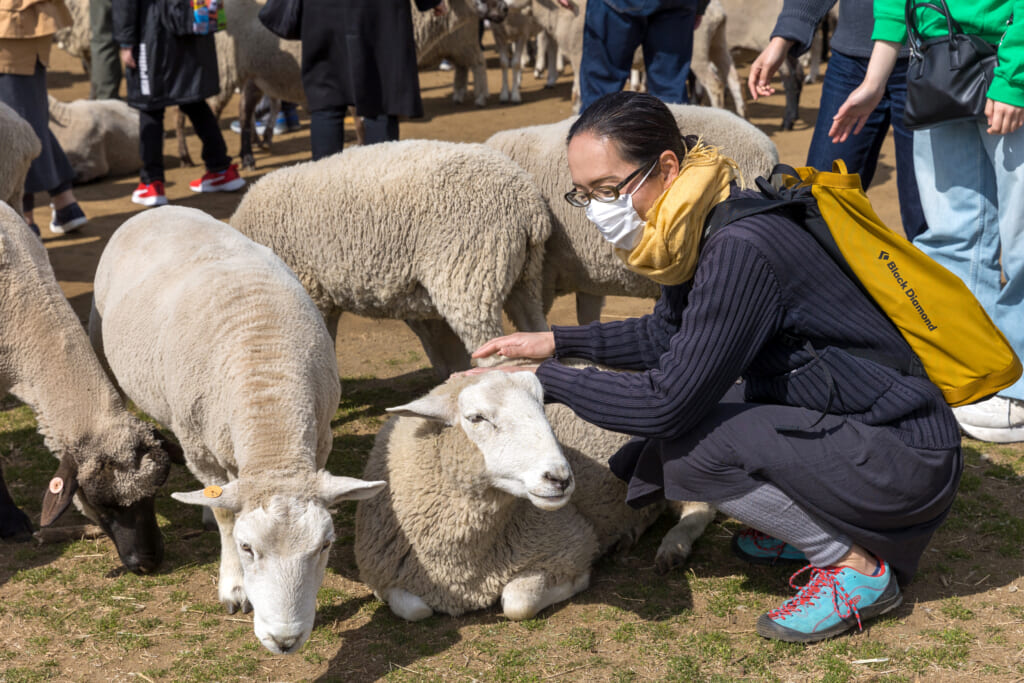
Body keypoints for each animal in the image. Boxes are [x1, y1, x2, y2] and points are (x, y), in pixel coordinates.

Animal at [86, 205, 385, 655]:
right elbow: (226, 515)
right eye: (247, 548)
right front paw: (234, 587)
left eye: (326, 545)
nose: (284, 640)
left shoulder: (319, 442)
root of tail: (161, 208)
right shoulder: (198, 448)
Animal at [229, 140, 557, 378]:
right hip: (524, 276)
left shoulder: (311, 291)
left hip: (470, 273)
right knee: (535, 331)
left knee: (495, 357)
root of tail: (529, 206)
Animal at [352, 370, 712, 622]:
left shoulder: (570, 541)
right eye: (476, 418)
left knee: (700, 508)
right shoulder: (382, 575)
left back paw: (673, 546)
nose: (560, 478)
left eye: (543, 407)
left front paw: (577, 581)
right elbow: (414, 609)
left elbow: (517, 603)